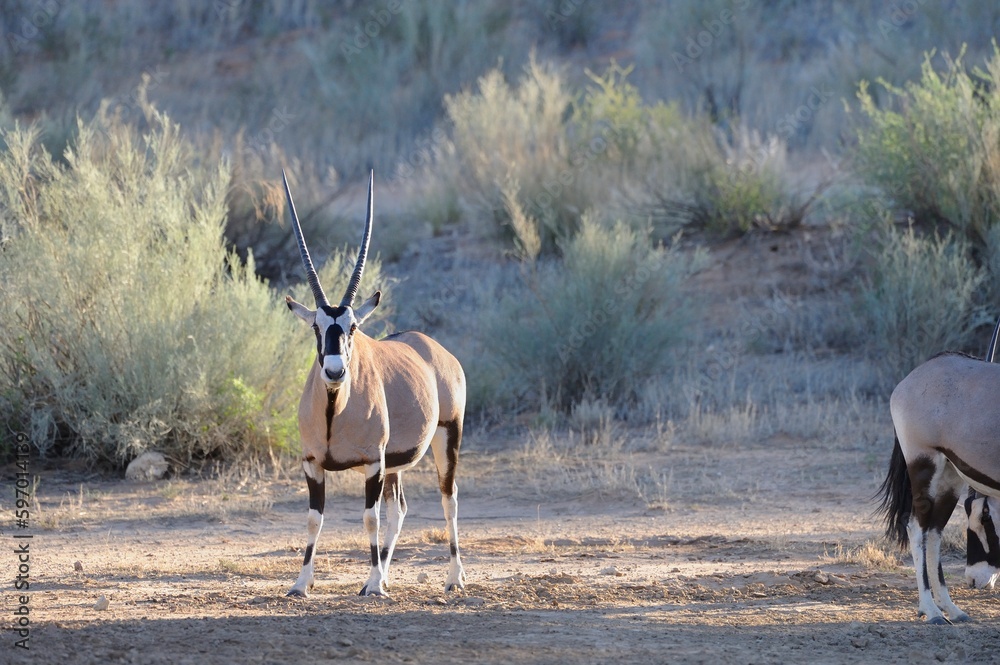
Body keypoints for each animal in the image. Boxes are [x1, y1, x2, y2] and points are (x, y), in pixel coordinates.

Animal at [282, 170, 467, 597]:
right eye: (316, 327)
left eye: (352, 327)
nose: (335, 372)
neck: (333, 412)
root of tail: (434, 349)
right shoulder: (312, 463)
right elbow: (314, 519)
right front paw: (301, 583)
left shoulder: (371, 463)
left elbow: (369, 519)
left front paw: (372, 584)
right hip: (395, 464)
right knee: (399, 509)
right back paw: (384, 574)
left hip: (446, 437)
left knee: (448, 500)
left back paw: (452, 578)